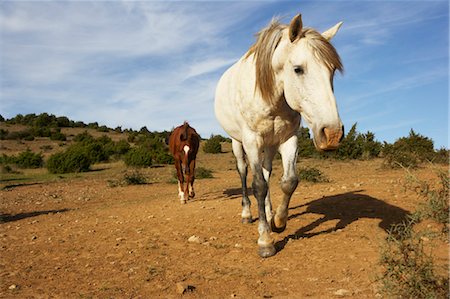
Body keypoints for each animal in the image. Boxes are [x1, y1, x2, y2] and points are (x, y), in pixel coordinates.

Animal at [214, 14, 344, 258]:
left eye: (331, 70)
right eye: (298, 69)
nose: (332, 134)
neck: (271, 97)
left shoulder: (288, 139)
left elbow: (289, 181)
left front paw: (278, 222)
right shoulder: (252, 141)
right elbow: (258, 185)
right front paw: (265, 241)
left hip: (270, 145)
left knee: (266, 172)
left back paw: (268, 212)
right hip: (238, 143)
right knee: (244, 174)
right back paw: (248, 214)